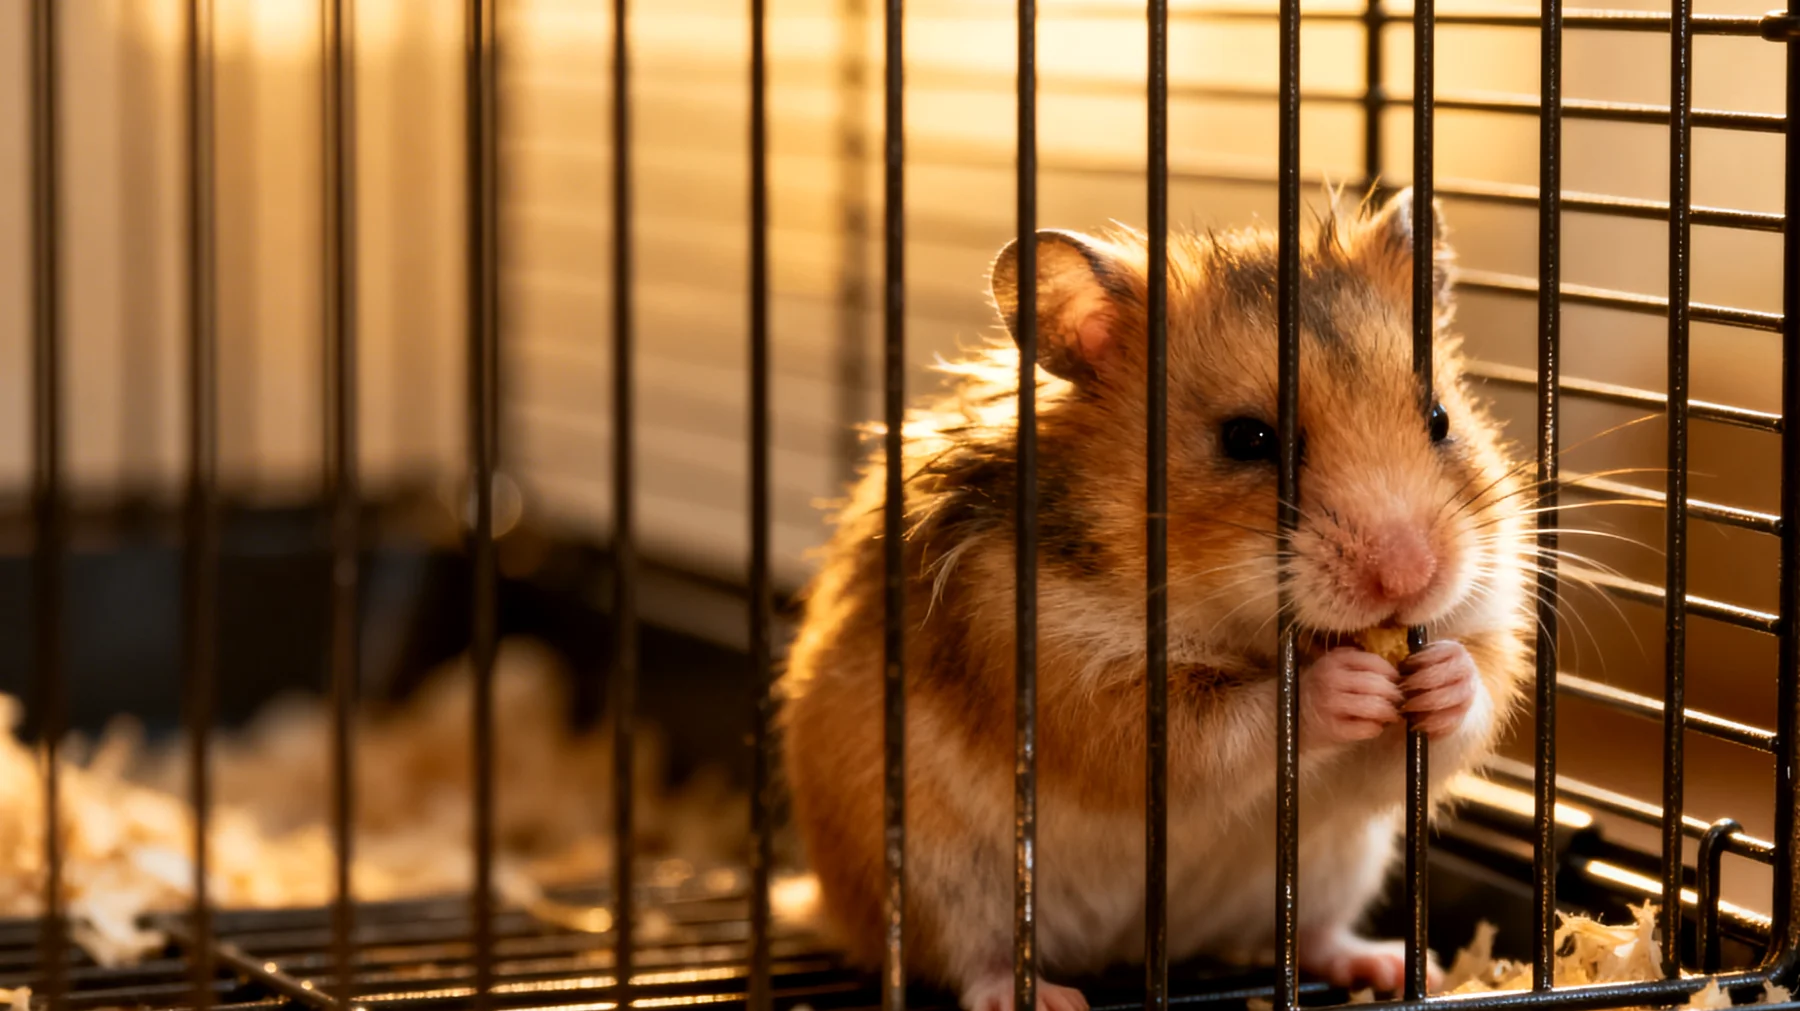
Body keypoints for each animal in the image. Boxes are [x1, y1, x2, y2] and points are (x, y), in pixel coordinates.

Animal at [778, 188, 1532, 1011]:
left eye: (1440, 419)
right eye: (1247, 438)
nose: (1409, 576)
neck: (1241, 621)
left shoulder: (1482, 625)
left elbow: (1466, 703)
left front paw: (1441, 676)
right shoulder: (1062, 671)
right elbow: (1222, 725)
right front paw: (1344, 683)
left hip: (1337, 867)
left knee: (1313, 936)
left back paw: (1393, 965)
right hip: (927, 872)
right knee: (969, 961)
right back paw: (1042, 995)